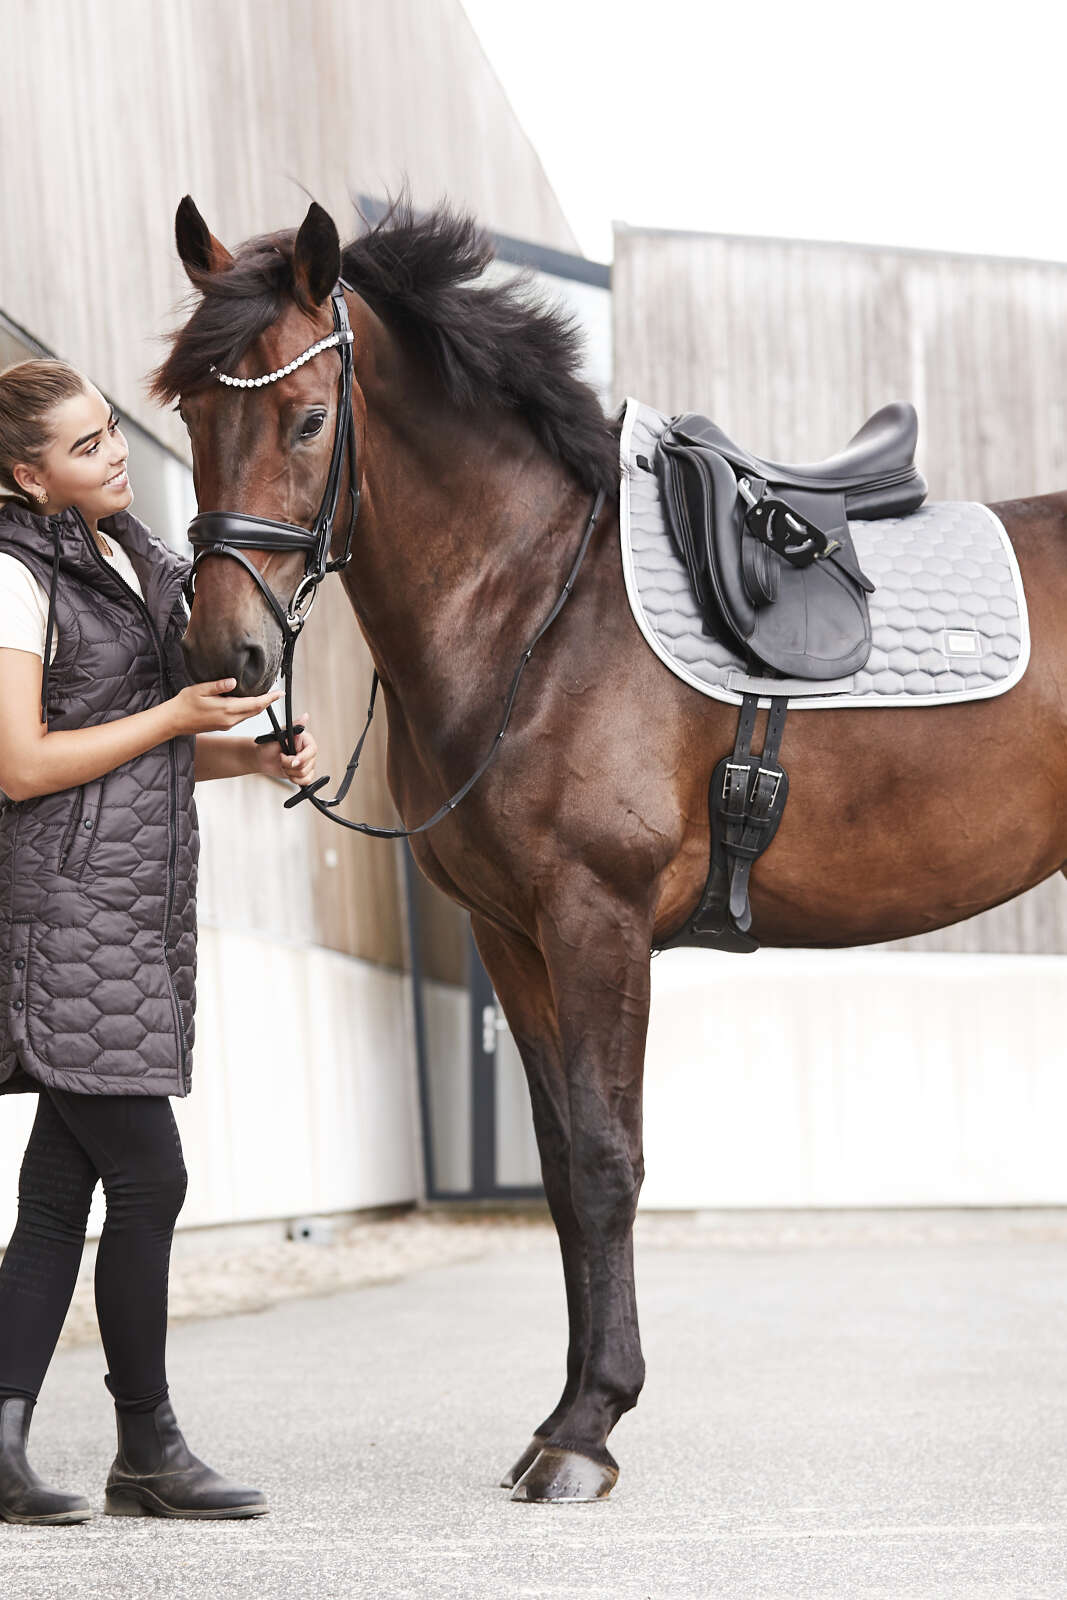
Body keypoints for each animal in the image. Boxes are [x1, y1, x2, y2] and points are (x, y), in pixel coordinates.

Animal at [152, 194, 1067, 1503]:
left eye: (310, 417)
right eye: (186, 411)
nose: (223, 655)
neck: (534, 602)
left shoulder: (599, 916)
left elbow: (603, 1156)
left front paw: (588, 1427)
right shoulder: (512, 934)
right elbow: (556, 1169)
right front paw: (564, 1408)